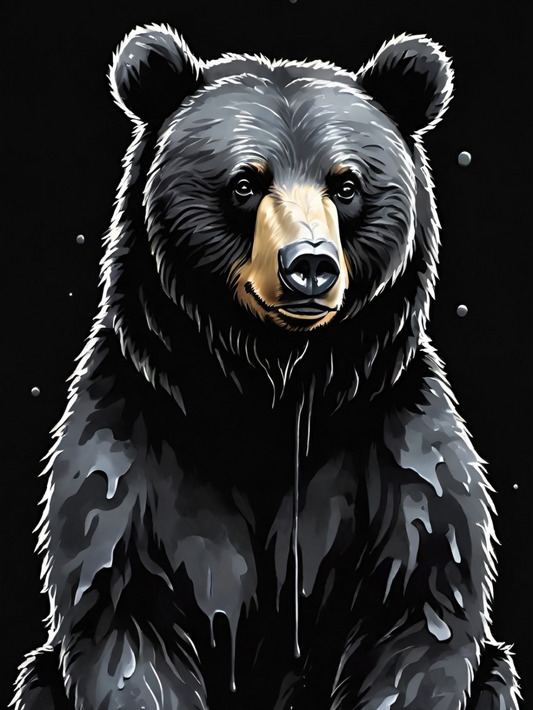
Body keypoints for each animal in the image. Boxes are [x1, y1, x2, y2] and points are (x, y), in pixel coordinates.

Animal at [11, 23, 521, 710]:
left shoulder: (393, 450)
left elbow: (419, 611)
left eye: (346, 184)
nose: (310, 264)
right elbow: (125, 617)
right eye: (245, 182)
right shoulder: (138, 447)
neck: (272, 385)